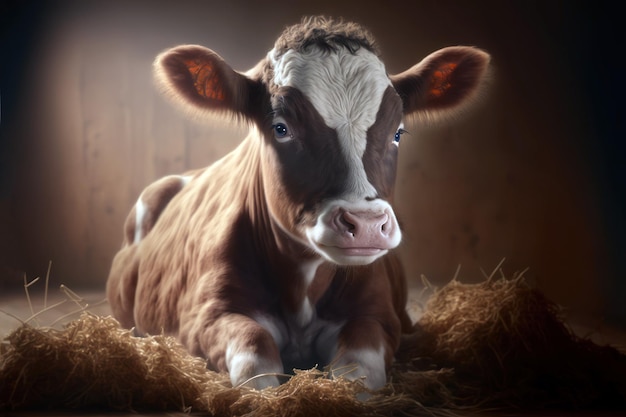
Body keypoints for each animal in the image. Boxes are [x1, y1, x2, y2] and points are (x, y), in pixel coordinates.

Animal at [106, 14, 488, 388]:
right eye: (281, 128)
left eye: (397, 133)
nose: (366, 225)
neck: (303, 286)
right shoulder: (205, 316)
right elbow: (256, 364)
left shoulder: (379, 315)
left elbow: (358, 374)